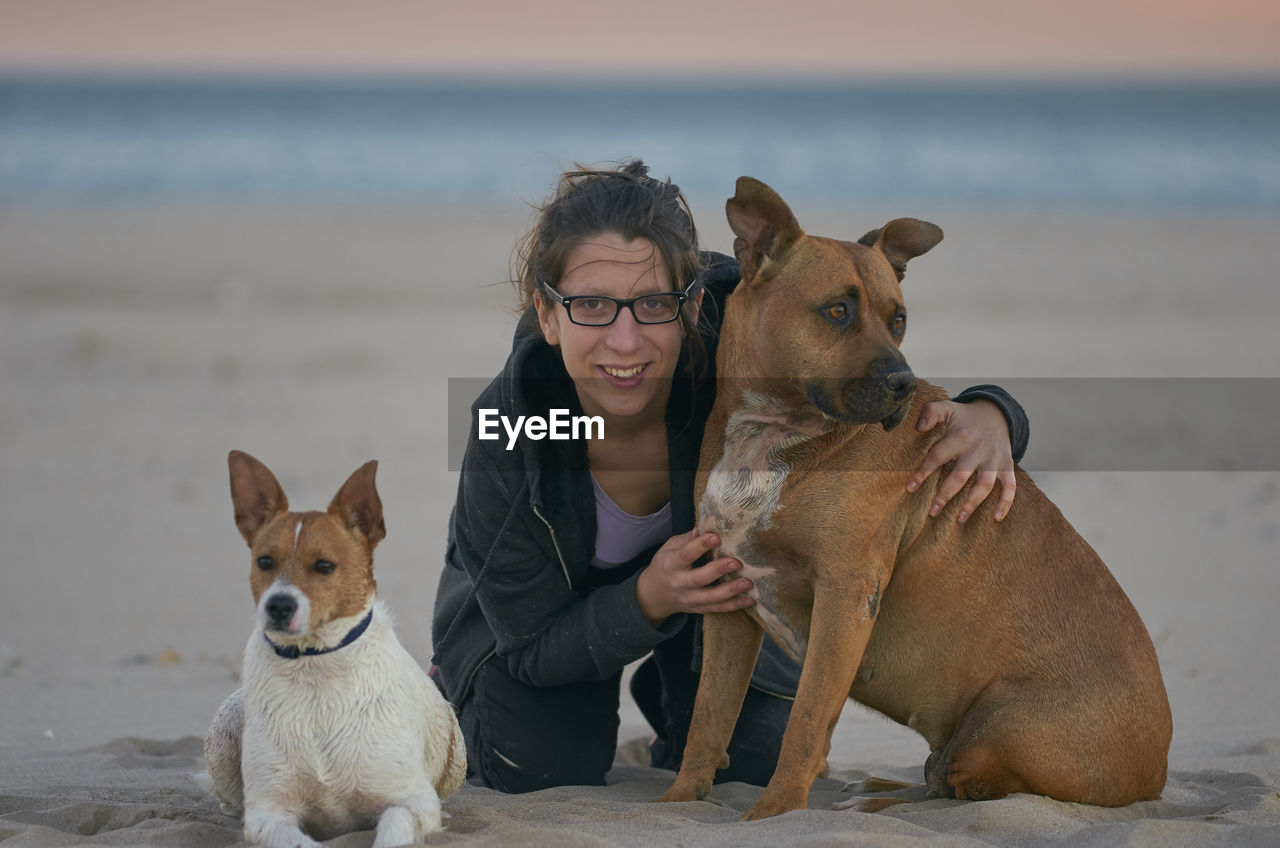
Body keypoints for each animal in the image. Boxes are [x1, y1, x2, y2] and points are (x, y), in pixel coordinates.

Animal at [207, 450, 468, 848]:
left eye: (324, 566)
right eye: (264, 561)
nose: (278, 605)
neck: (315, 667)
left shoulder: (412, 802)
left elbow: (392, 831)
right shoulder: (269, 812)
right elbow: (292, 838)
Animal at [660, 178, 1172, 824]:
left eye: (898, 320)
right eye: (837, 311)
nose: (903, 383)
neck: (775, 433)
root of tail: (1156, 773)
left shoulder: (846, 596)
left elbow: (806, 721)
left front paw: (776, 813)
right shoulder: (728, 596)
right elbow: (707, 718)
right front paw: (677, 802)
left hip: (998, 729)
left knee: (965, 786)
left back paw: (874, 803)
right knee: (937, 779)